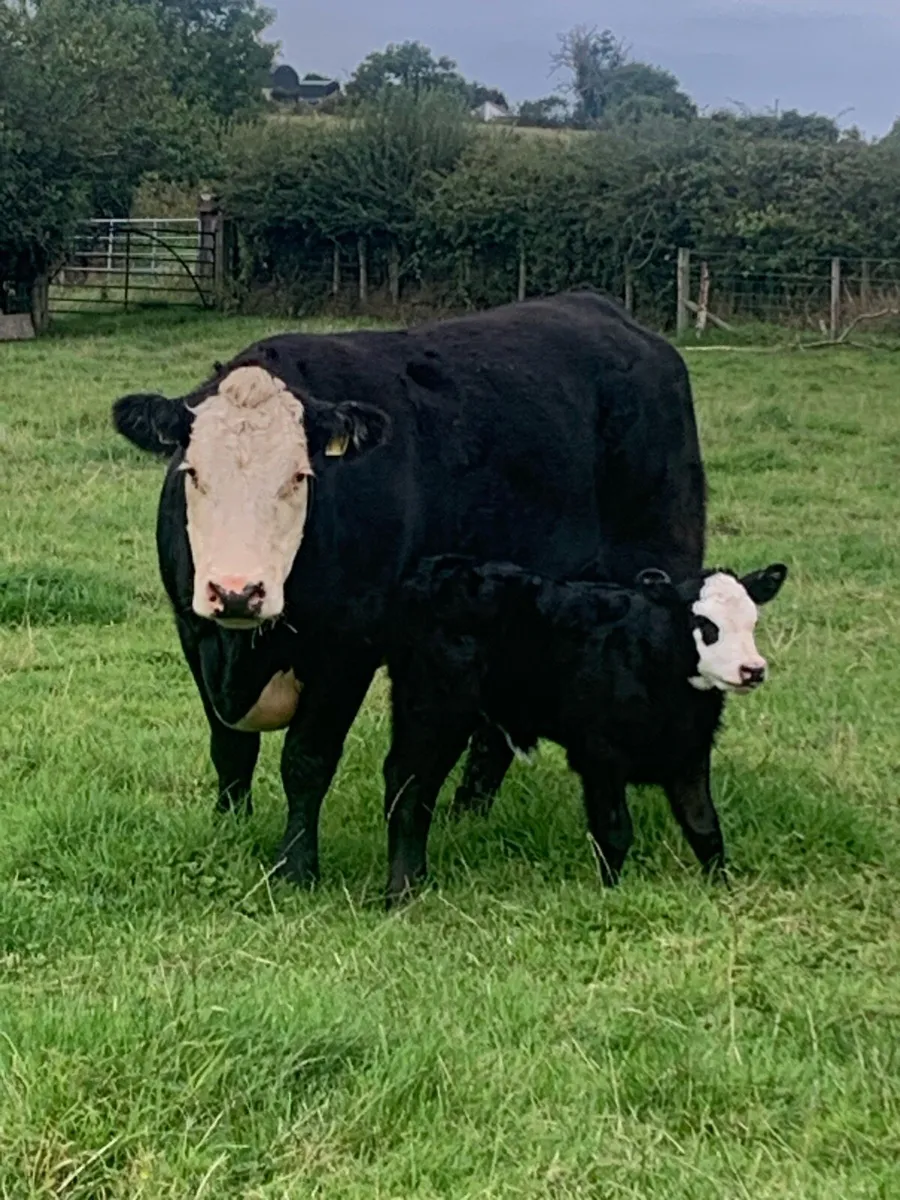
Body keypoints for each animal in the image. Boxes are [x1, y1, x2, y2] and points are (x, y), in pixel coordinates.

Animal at [110, 288, 707, 886]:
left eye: (300, 477)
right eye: (192, 473)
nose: (238, 590)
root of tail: (609, 314)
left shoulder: (346, 649)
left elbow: (306, 760)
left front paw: (296, 866)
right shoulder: (195, 630)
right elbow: (231, 748)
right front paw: (229, 829)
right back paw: (468, 813)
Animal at [384, 557, 788, 904]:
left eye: (753, 622)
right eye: (705, 625)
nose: (753, 670)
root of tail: (434, 569)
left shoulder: (689, 755)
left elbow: (704, 827)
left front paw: (721, 889)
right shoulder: (599, 756)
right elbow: (615, 831)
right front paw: (611, 890)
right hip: (431, 710)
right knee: (409, 786)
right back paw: (401, 891)